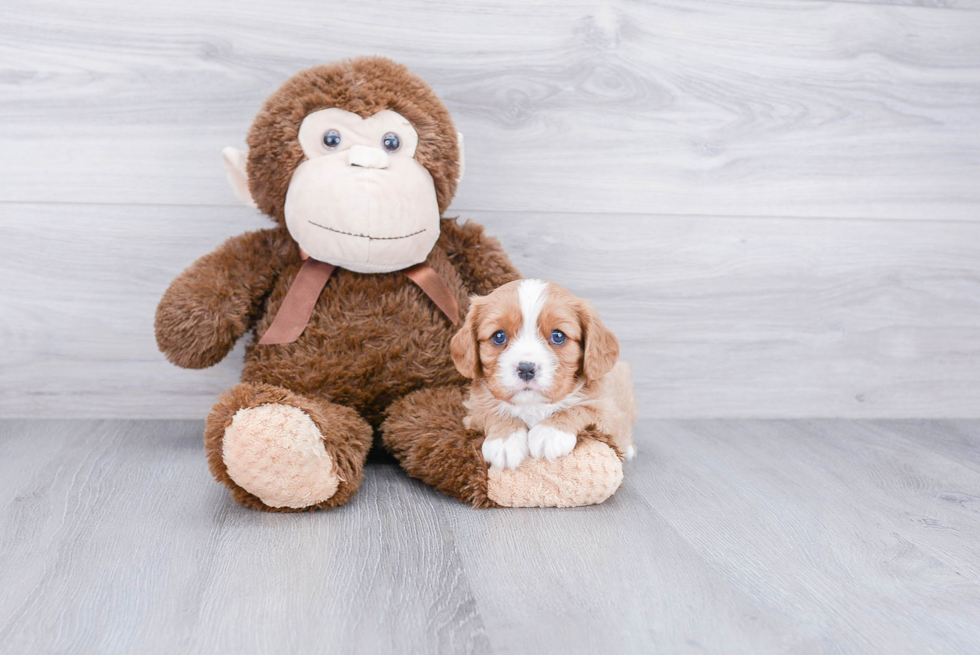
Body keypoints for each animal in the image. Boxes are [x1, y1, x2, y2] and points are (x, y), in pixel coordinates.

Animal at [450, 280, 636, 468]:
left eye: (558, 336)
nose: (526, 369)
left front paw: (550, 432)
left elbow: (581, 408)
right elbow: (490, 410)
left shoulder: (609, 415)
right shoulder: (472, 414)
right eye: (499, 336)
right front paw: (505, 440)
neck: (533, 405)